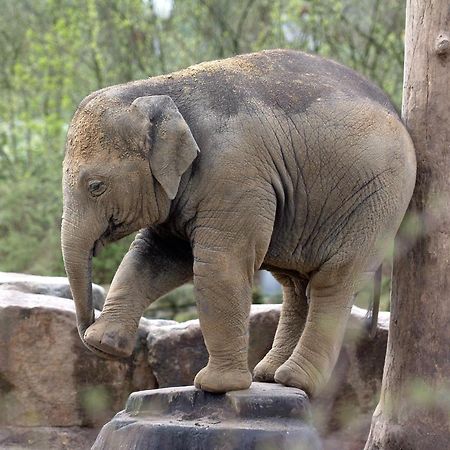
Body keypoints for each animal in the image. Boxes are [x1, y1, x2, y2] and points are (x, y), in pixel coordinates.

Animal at [61, 49, 416, 396]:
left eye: (96, 186)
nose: (87, 330)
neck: (159, 90)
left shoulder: (233, 175)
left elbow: (218, 265)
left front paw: (215, 386)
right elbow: (153, 256)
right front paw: (104, 344)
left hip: (377, 199)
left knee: (334, 281)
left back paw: (294, 381)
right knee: (295, 286)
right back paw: (269, 376)